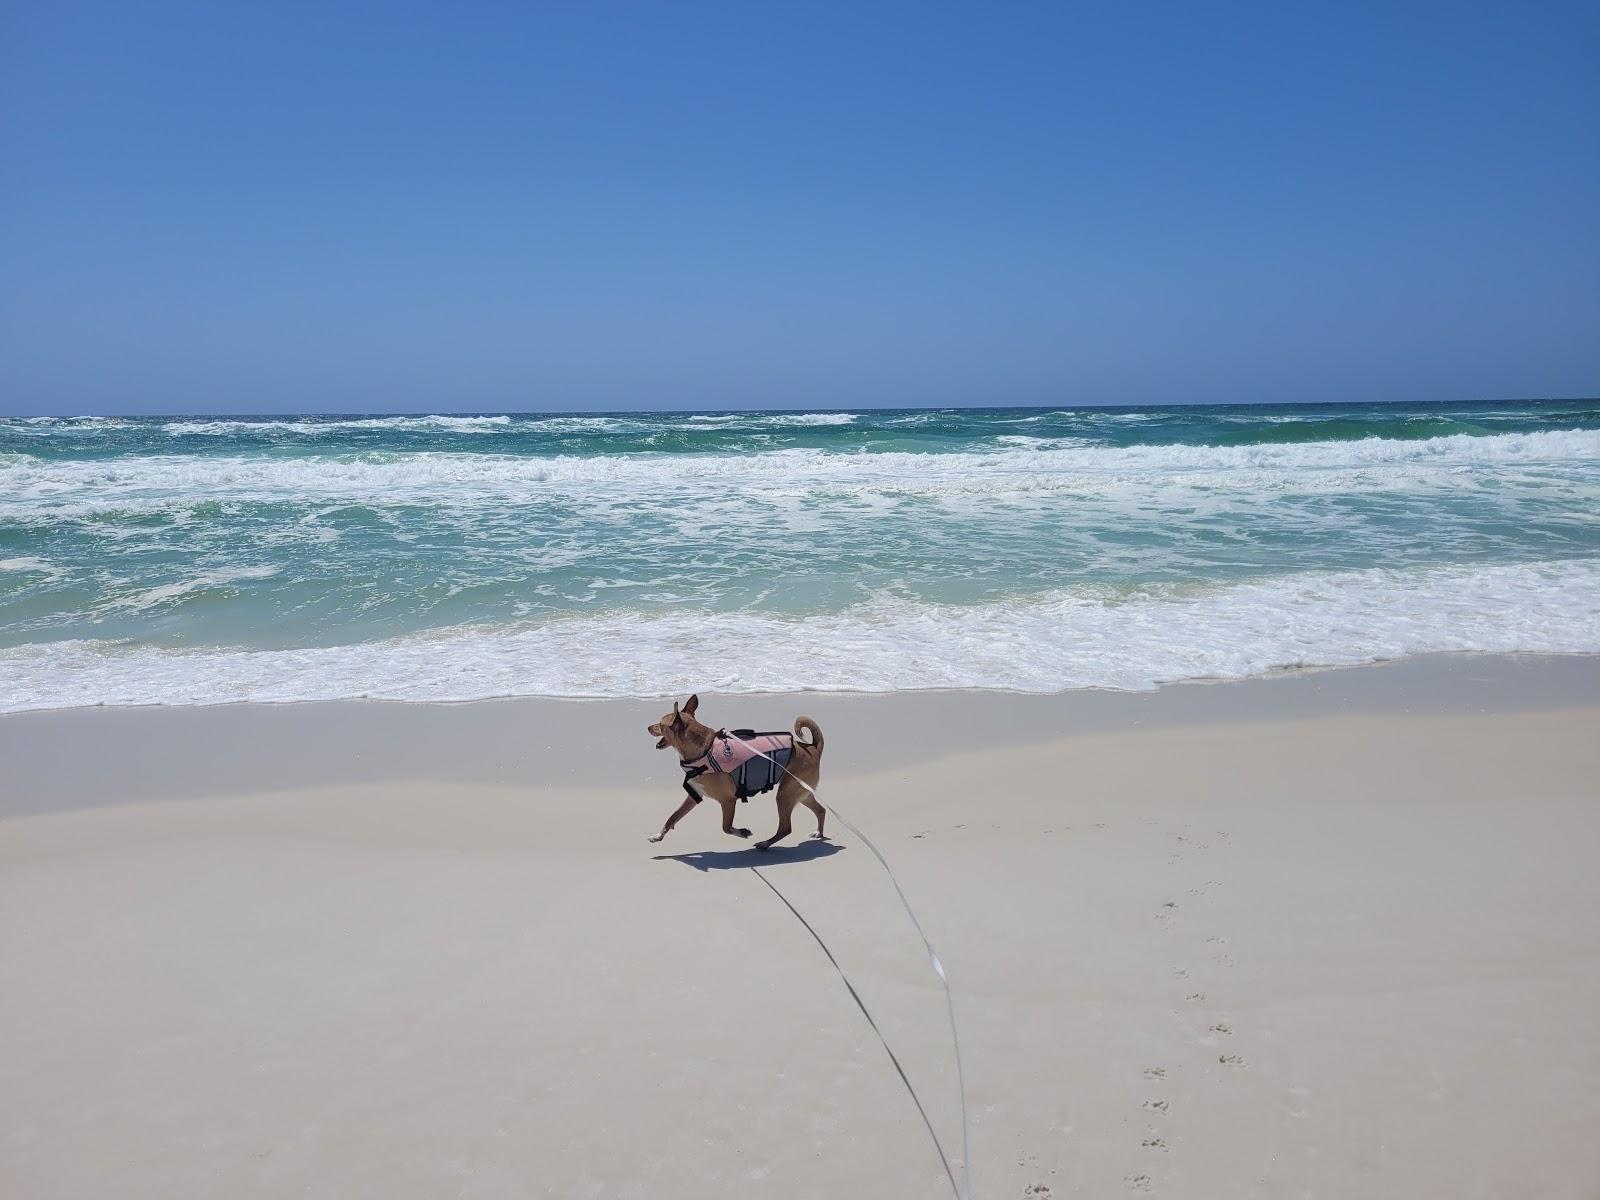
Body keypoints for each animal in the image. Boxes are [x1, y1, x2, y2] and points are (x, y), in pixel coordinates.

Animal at [646, 694, 825, 857]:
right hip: (800, 793)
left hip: (785, 794)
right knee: (821, 810)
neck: (704, 752)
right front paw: (658, 836)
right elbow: (673, 817)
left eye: (660, 725)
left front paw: (742, 832)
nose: (648, 727)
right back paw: (818, 832)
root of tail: (813, 748)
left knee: (786, 827)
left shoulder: (728, 800)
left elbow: (726, 827)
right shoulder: (694, 796)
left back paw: (765, 843)